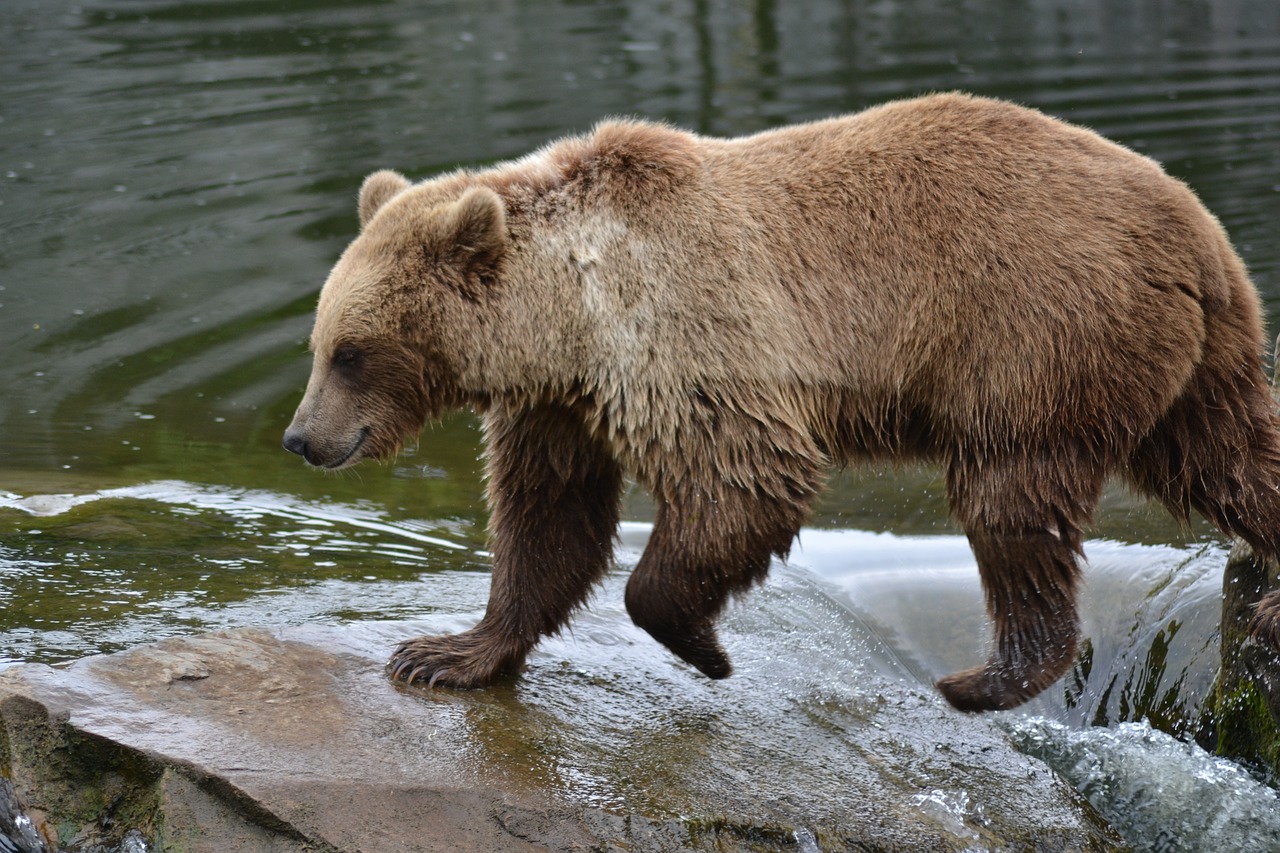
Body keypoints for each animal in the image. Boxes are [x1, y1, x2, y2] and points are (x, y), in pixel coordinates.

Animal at [285, 92, 1280, 712]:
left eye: (352, 352)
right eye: (319, 344)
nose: (302, 437)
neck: (568, 314)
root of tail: (1195, 228)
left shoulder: (684, 331)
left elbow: (745, 477)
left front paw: (703, 645)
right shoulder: (561, 403)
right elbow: (546, 519)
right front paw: (446, 652)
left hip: (1036, 332)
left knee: (1012, 498)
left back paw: (987, 676)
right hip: (1189, 358)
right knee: (1229, 455)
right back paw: (1265, 581)